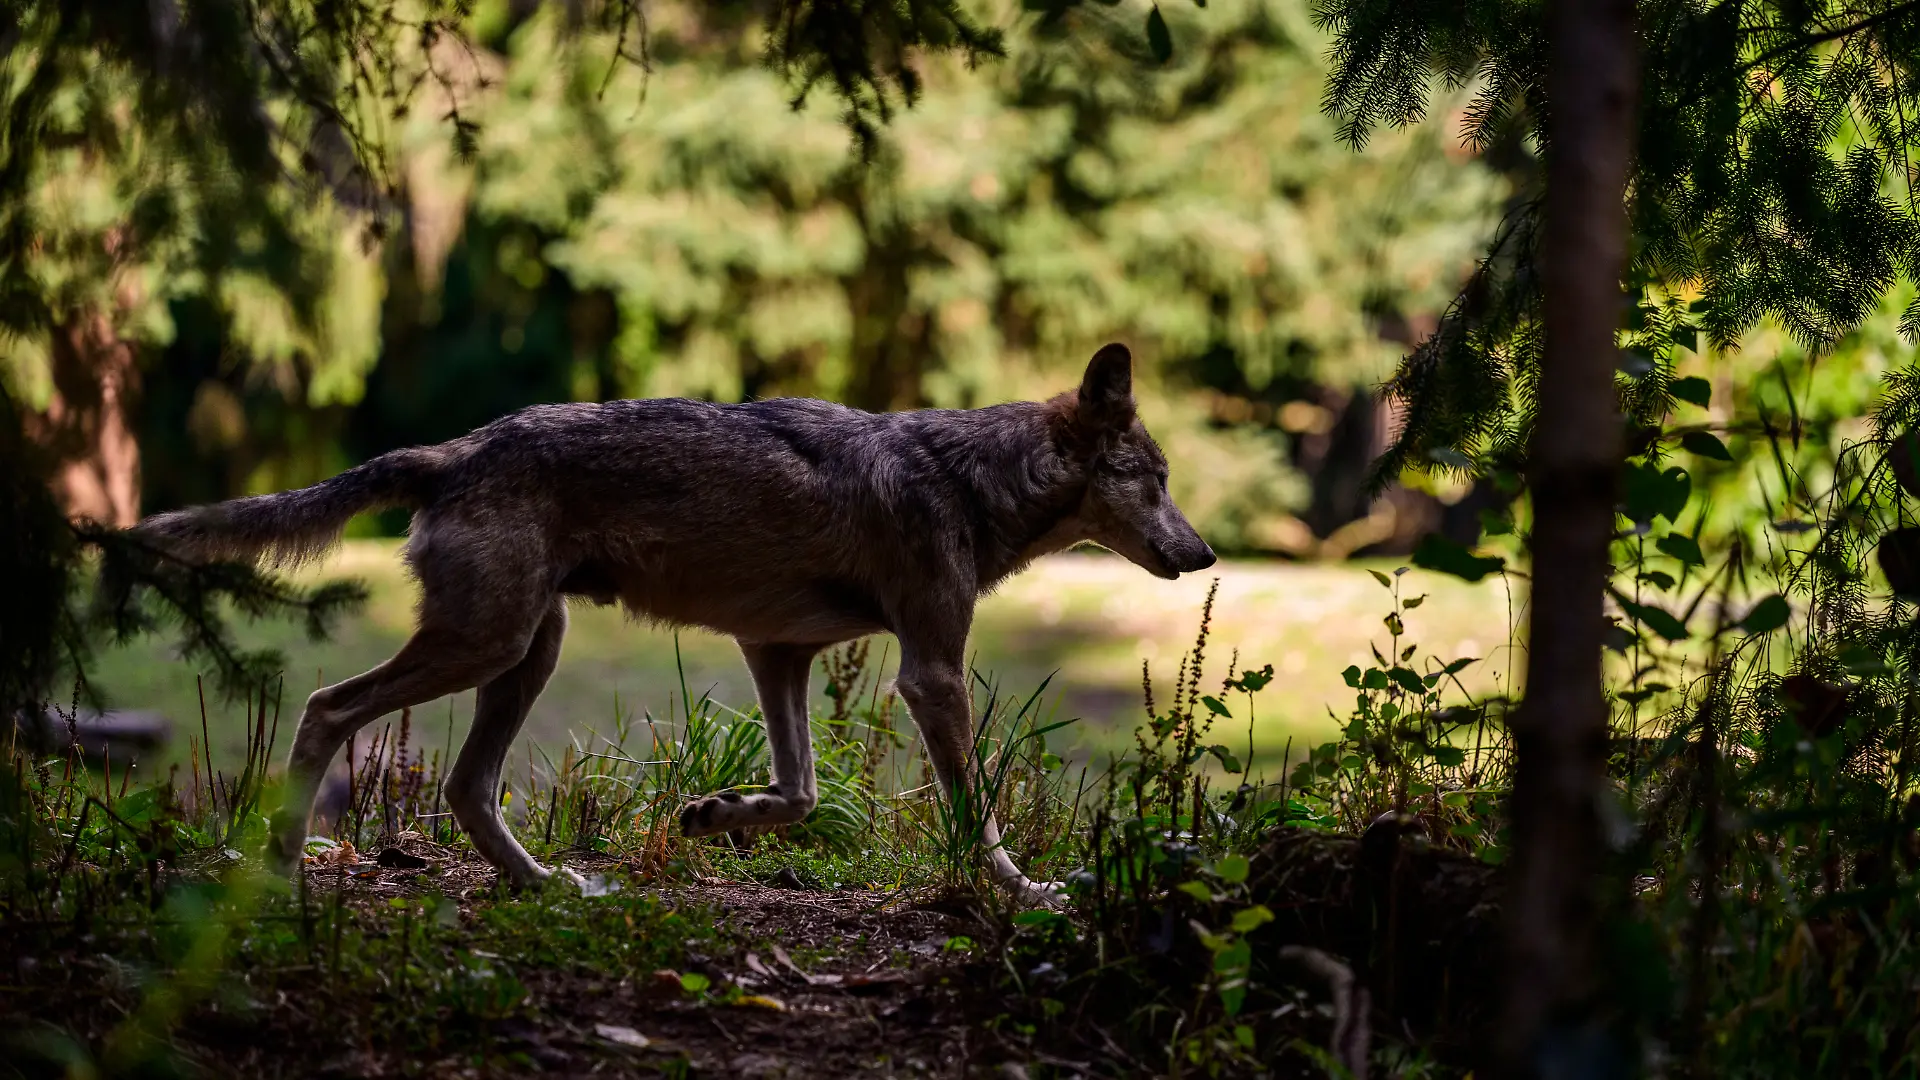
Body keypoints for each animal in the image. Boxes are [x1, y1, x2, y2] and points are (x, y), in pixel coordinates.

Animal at [135, 343, 1216, 902]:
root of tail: (455, 450)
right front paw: (1022, 892)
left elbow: (801, 793)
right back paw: (280, 871)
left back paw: (546, 885)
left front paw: (714, 815)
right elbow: (974, 807)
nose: (1205, 554)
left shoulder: (778, 653)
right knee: (327, 707)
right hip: (488, 645)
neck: (967, 479)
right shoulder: (930, 675)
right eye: (1153, 478)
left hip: (526, 652)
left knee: (465, 787)